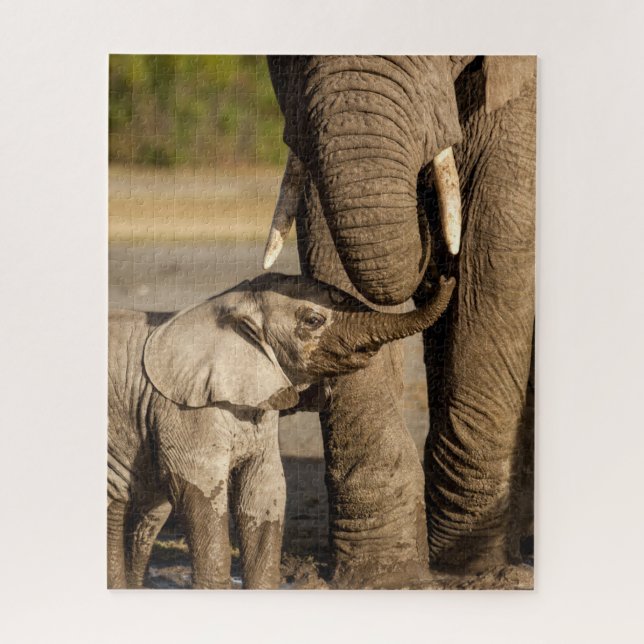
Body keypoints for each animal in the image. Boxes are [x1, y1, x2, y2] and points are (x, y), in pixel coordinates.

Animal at [107, 271, 454, 589]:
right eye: (313, 320)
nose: (442, 278)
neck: (226, 305)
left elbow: (263, 492)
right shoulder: (184, 411)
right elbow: (200, 492)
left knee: (148, 514)